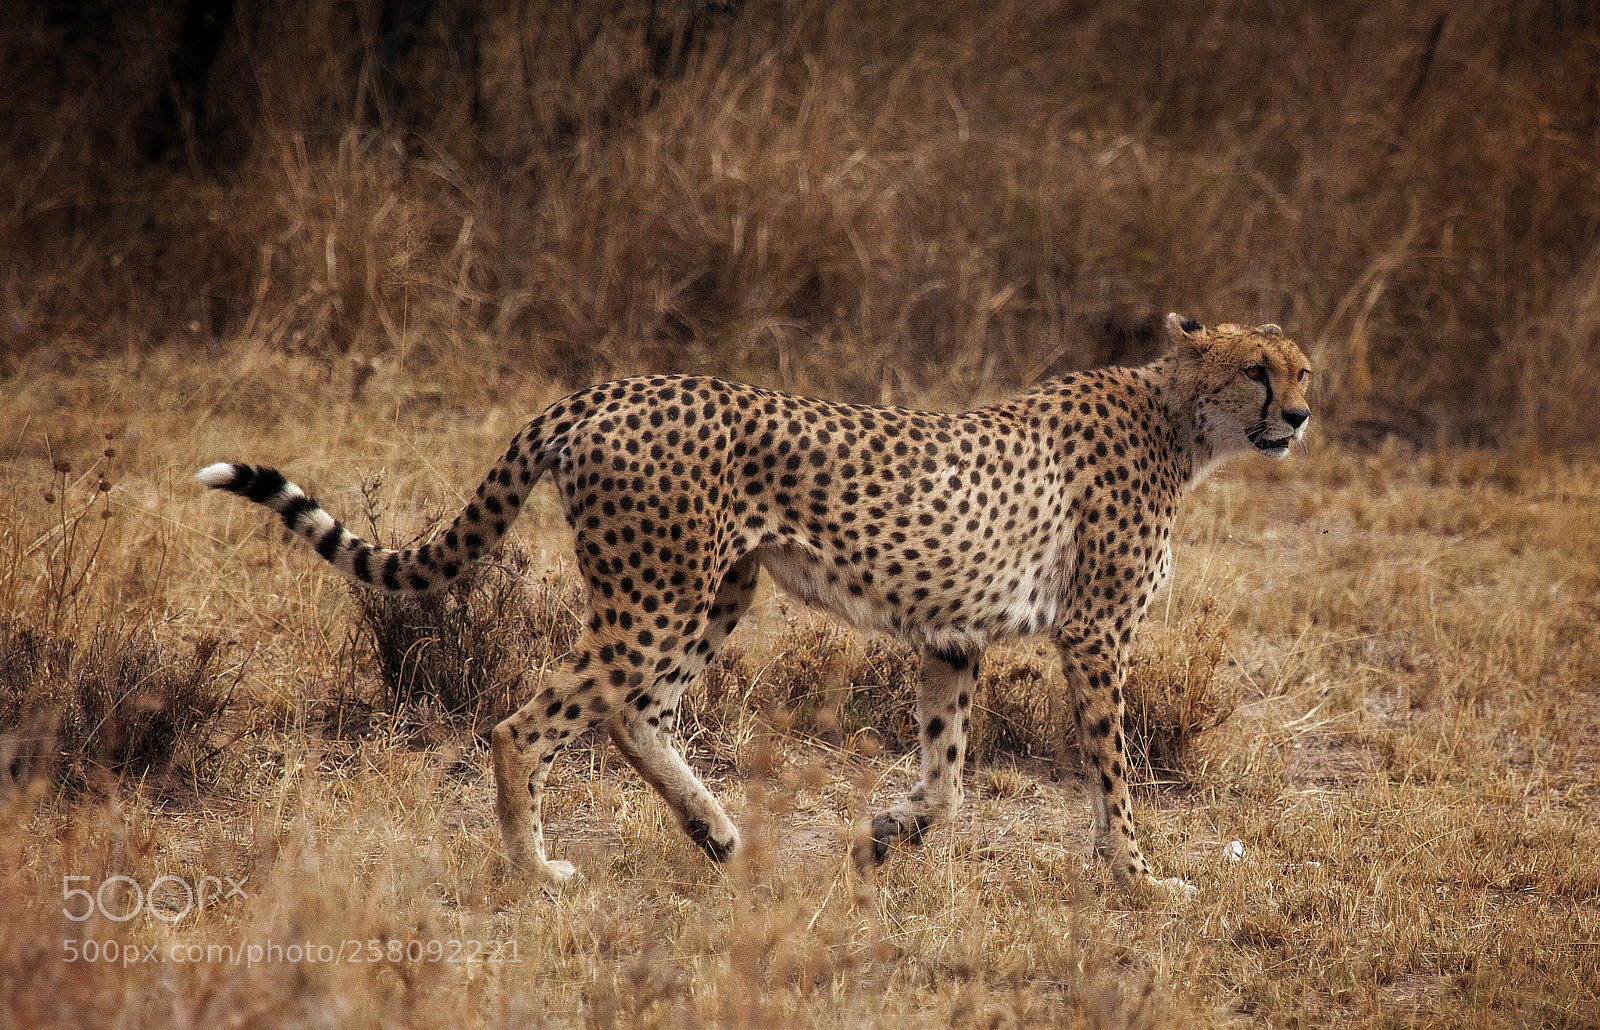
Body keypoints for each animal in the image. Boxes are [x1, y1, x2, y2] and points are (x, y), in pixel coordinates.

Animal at [198, 312, 1311, 900]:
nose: (1300, 415)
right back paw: (538, 867)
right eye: (1254, 369)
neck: (1179, 420)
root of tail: (606, 390)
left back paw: (720, 836)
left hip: (712, 588)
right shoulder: (1094, 634)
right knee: (529, 721)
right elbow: (1111, 770)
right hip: (658, 591)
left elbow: (948, 771)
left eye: (1301, 368)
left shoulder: (953, 638)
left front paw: (890, 832)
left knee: (633, 713)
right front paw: (1140, 877)